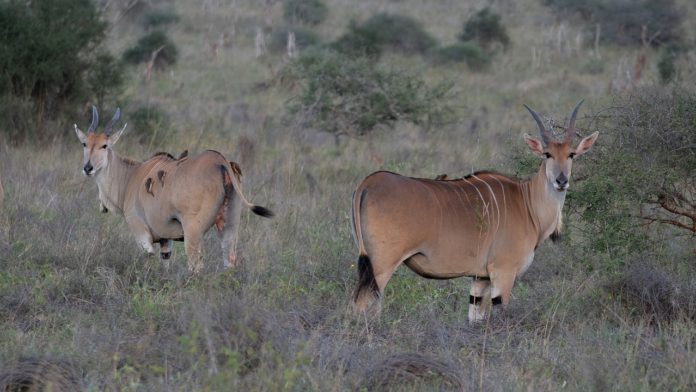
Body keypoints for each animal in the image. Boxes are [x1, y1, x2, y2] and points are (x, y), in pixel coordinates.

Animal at [75, 107, 272, 272]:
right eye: (84, 144)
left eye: (105, 145)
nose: (87, 168)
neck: (131, 176)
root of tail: (220, 161)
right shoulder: (165, 240)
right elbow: (165, 262)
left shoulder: (141, 233)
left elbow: (148, 258)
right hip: (229, 226)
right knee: (229, 260)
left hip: (193, 232)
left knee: (196, 266)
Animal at [354, 100, 600, 322]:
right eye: (547, 154)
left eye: (571, 154)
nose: (561, 181)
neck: (527, 201)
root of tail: (368, 183)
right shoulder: (503, 273)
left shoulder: (480, 279)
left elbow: (475, 319)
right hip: (381, 266)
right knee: (364, 305)